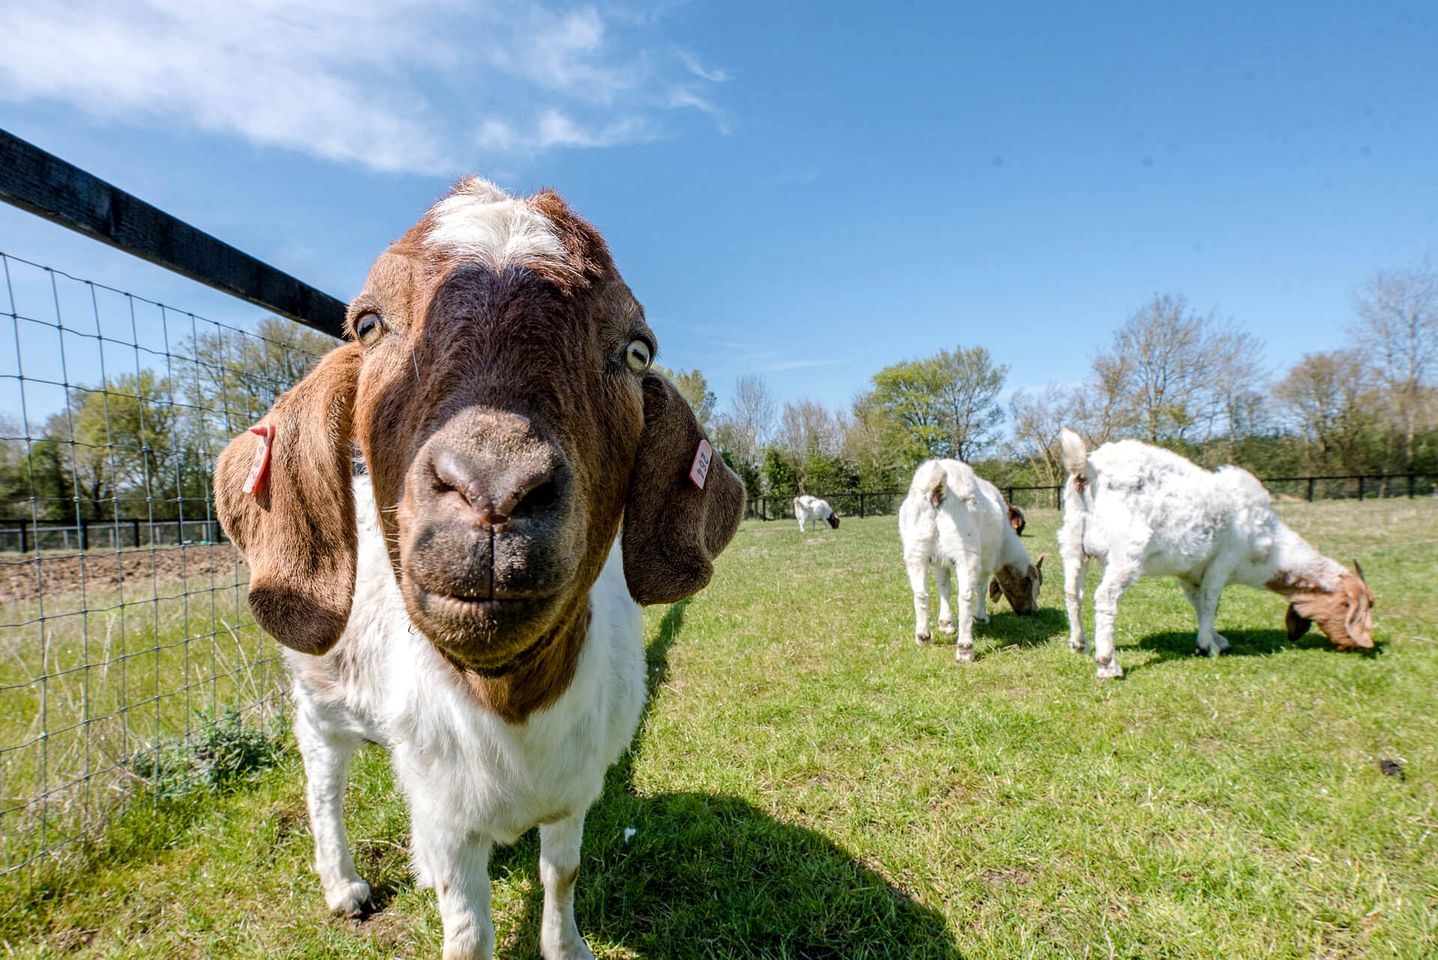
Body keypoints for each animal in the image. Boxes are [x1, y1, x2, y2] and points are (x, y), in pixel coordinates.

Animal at [221, 178, 753, 960]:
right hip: (316, 702)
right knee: (325, 787)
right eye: (368, 324)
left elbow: (562, 874)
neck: (510, 706)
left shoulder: (573, 790)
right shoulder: (449, 820)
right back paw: (343, 885)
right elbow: (469, 933)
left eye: (634, 350)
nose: (493, 488)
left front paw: (568, 947)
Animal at [897, 457, 1046, 661]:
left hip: (916, 548)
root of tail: (937, 489)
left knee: (920, 593)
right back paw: (965, 648)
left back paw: (923, 637)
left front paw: (946, 625)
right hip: (965, 548)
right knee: (966, 595)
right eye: (1034, 587)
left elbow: (944, 587)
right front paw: (981, 618)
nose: (1031, 611)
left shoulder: (939, 560)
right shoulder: (988, 559)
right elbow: (981, 588)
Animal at [1064, 431, 1374, 678]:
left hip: (1072, 542)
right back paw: (1108, 664)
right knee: (1105, 597)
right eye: (1354, 606)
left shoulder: (1189, 572)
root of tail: (1089, 469)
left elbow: (1199, 603)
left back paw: (1079, 643)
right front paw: (1207, 646)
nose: (1359, 645)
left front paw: (1216, 638)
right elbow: (1212, 601)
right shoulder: (1222, 561)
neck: (1267, 544)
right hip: (1127, 552)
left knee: (1072, 593)